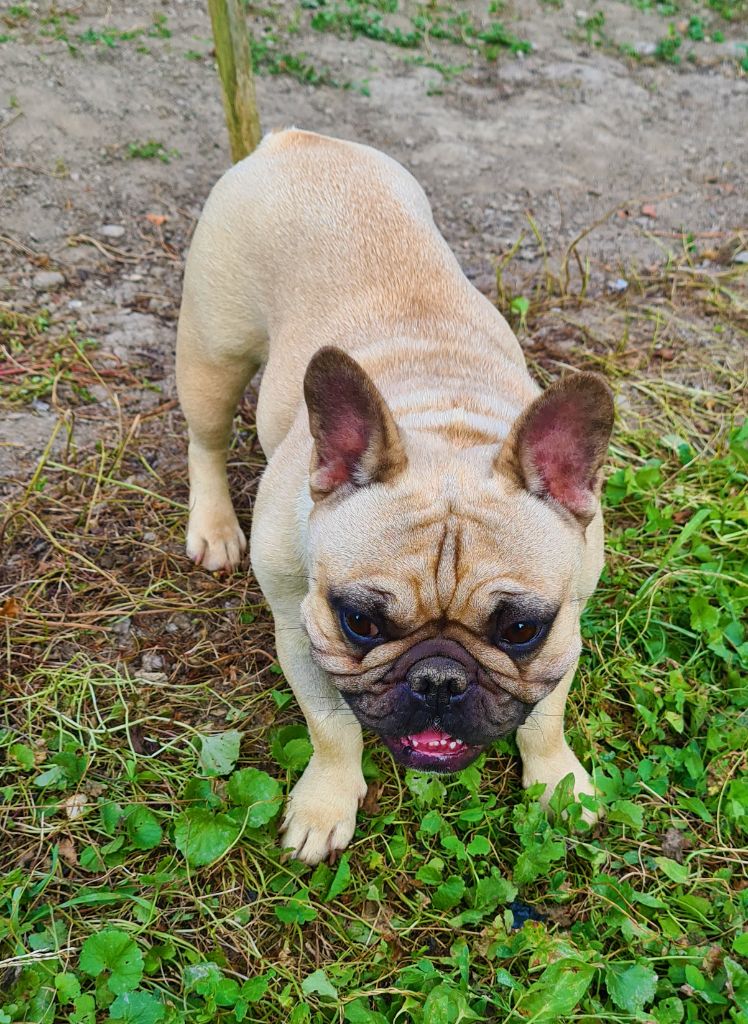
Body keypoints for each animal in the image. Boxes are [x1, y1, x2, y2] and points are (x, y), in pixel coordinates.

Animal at [175, 128, 610, 864]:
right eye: (361, 623)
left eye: (520, 630)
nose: (439, 679)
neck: (442, 419)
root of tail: (295, 141)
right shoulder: (301, 632)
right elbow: (331, 725)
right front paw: (325, 802)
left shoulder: (565, 633)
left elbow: (544, 716)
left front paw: (556, 780)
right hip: (213, 350)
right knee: (203, 437)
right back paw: (213, 525)